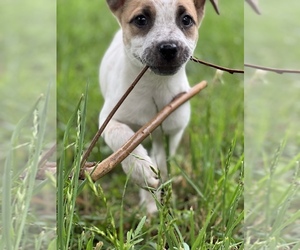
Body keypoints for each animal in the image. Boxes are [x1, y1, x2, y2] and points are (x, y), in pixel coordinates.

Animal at [100, 0, 218, 213]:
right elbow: (123, 138)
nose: (169, 48)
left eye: (186, 19)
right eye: (141, 19)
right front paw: (140, 170)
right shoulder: (109, 119)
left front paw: (150, 200)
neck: (154, 86)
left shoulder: (170, 132)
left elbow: (161, 163)